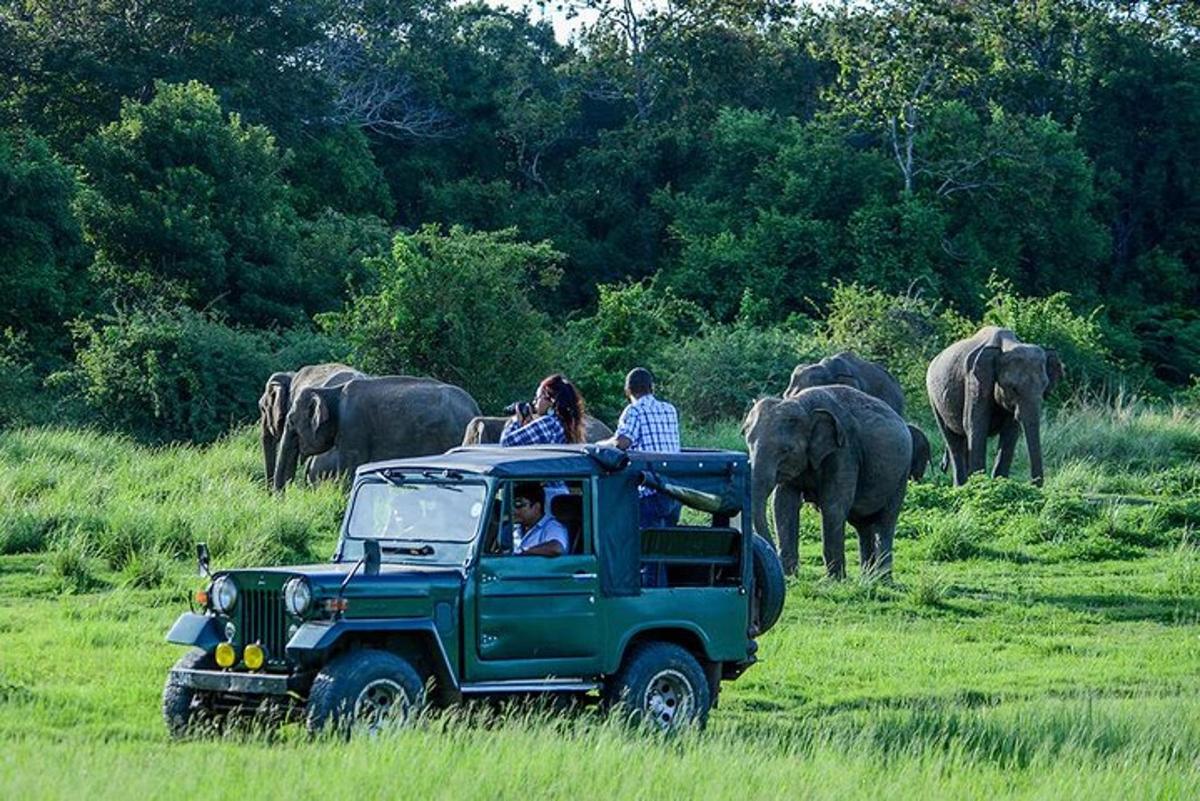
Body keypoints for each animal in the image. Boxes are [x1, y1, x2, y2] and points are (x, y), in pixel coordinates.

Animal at [739, 386, 907, 577]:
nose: (772, 552)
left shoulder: (844, 450)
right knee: (863, 525)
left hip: (901, 475)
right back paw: (867, 579)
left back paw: (881, 579)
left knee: (885, 521)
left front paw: (834, 580)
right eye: (748, 442)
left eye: (786, 450)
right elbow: (783, 504)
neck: (803, 404)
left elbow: (833, 506)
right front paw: (790, 576)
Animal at [921, 326, 1065, 489]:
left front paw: (999, 483)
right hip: (933, 397)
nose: (1033, 484)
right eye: (1013, 388)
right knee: (953, 440)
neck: (1007, 345)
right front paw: (981, 485)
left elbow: (1010, 431)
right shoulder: (976, 380)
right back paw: (960, 486)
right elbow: (975, 425)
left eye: (1044, 387)